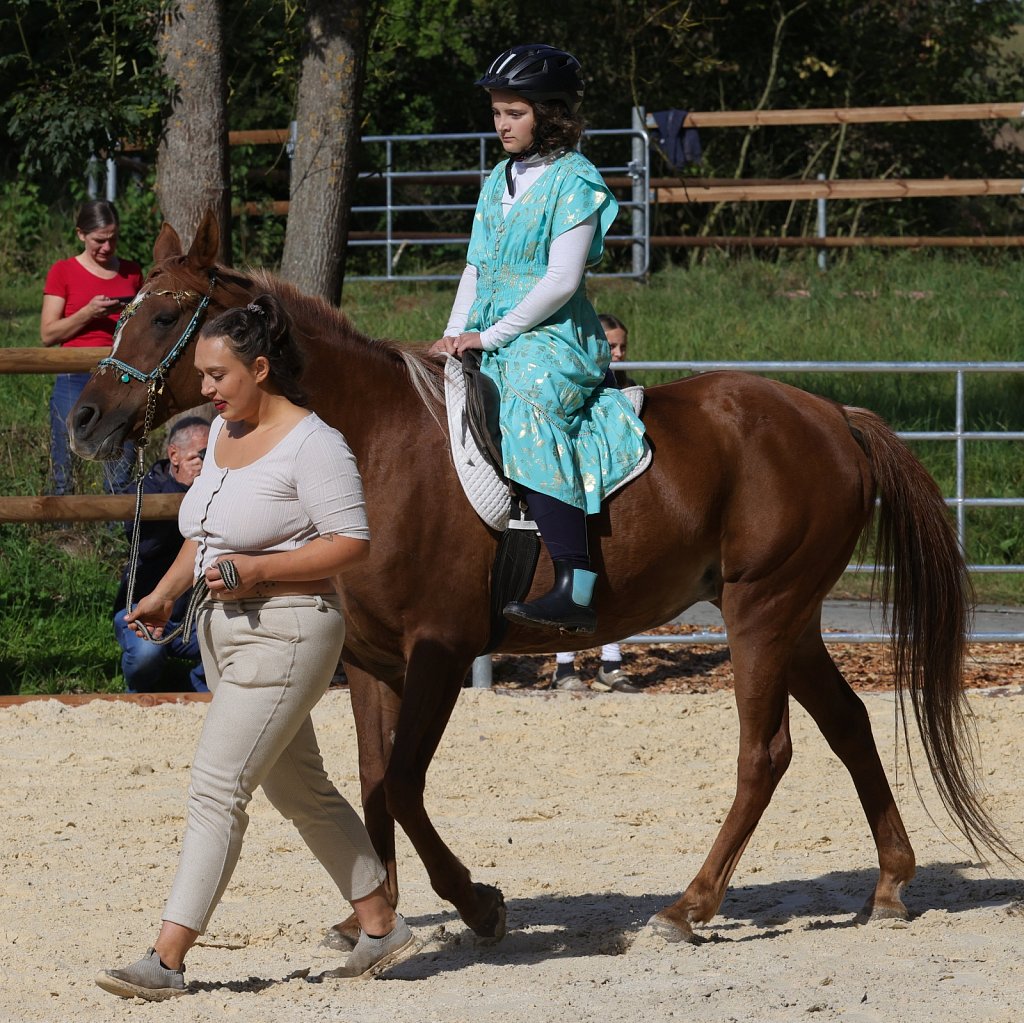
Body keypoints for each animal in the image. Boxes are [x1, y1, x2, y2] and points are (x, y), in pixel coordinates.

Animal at [70, 210, 1009, 948]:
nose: (84, 418)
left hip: (761, 611)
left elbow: (404, 784)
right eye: (120, 314)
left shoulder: (441, 650)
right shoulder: (371, 659)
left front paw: (477, 903)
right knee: (849, 724)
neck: (370, 445)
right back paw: (888, 884)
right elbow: (373, 783)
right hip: (792, 616)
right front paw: (374, 913)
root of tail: (831, 415)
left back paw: (689, 906)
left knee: (764, 751)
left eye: (165, 314)